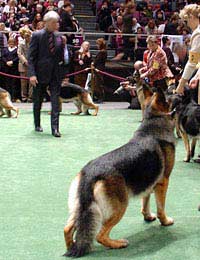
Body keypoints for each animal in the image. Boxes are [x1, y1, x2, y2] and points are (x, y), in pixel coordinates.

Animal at [63, 86, 176, 256]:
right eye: (168, 96)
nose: (175, 90)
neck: (153, 122)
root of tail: (89, 174)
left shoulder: (149, 182)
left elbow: (145, 202)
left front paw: (148, 217)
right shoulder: (163, 182)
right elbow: (161, 208)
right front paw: (165, 221)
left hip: (80, 208)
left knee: (67, 229)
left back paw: (73, 247)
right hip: (120, 207)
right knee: (100, 235)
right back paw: (117, 244)